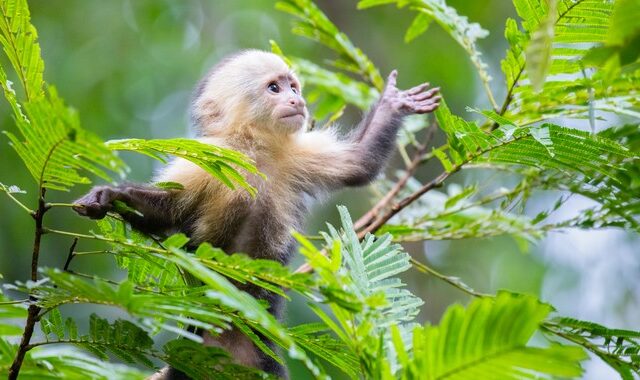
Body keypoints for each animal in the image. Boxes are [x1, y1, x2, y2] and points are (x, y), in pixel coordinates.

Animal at [71, 49, 440, 378]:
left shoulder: (295, 155)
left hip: (261, 356)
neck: (255, 151)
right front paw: (109, 196)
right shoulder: (208, 160)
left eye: (294, 87)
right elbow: (167, 212)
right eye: (274, 88)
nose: (296, 101)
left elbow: (358, 163)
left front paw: (393, 102)